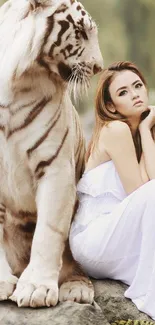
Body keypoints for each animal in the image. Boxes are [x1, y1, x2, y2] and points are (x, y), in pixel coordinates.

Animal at [0, 0, 103, 306]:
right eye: (80, 32)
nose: (99, 67)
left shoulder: (56, 167)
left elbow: (48, 232)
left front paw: (36, 288)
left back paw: (76, 289)